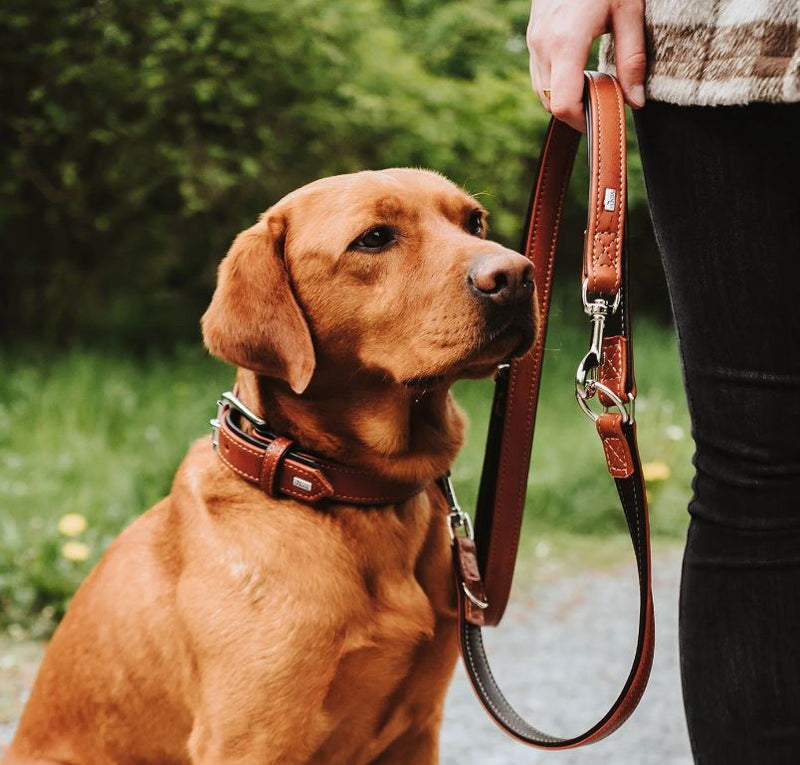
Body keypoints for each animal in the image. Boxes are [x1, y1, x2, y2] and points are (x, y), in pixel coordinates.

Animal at [6, 169, 536, 764]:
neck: (344, 492)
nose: (517, 275)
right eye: (375, 238)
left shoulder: (416, 728)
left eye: (474, 222)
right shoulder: (251, 739)